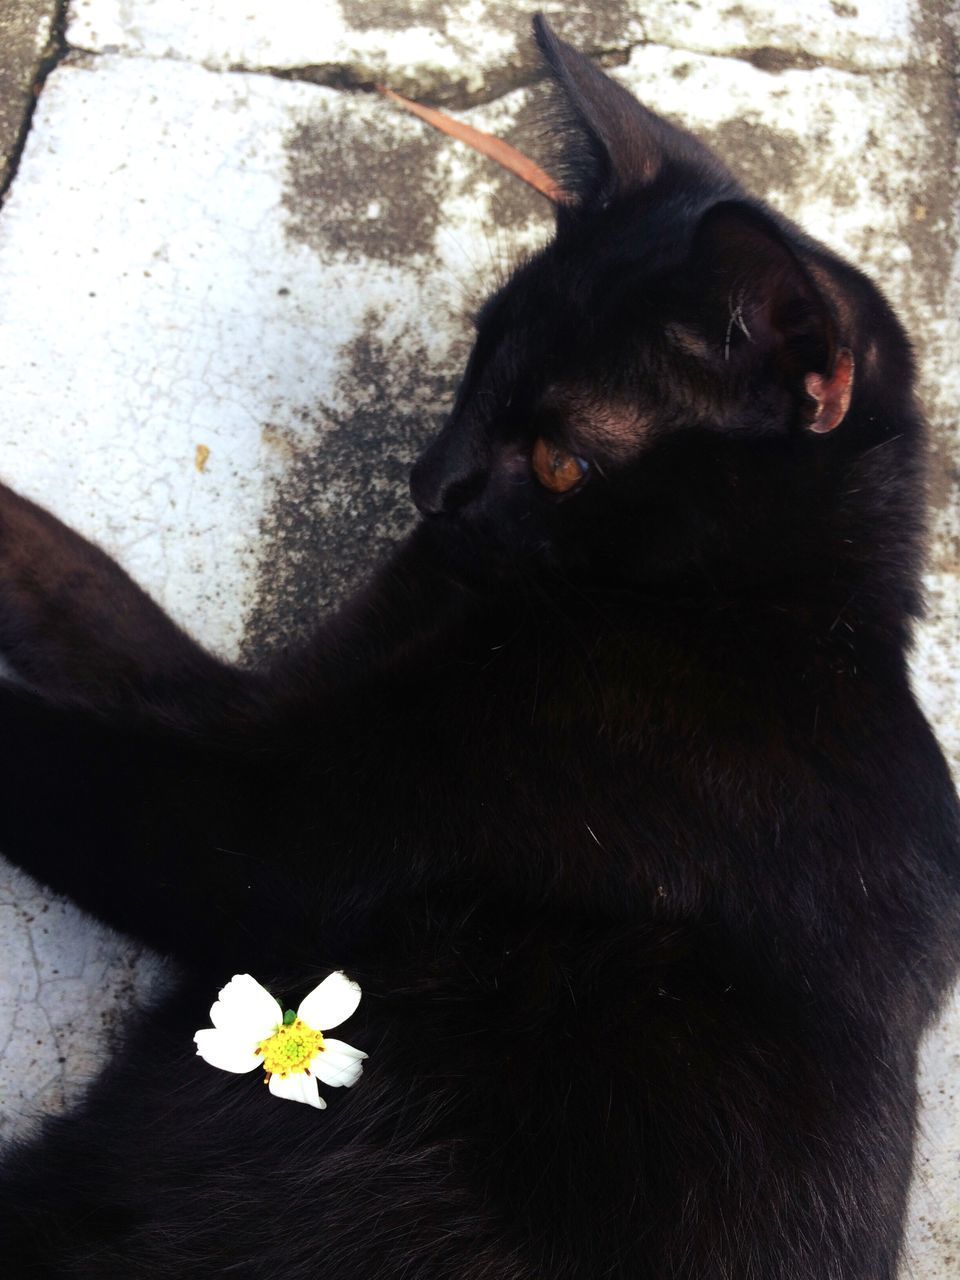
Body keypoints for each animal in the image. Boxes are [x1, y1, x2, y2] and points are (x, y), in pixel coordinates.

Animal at [1, 20, 960, 1280]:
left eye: (560, 461)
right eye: (478, 356)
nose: (428, 486)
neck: (767, 616)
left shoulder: (273, 825)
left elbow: (72, 757)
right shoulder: (262, 707)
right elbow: (93, 600)